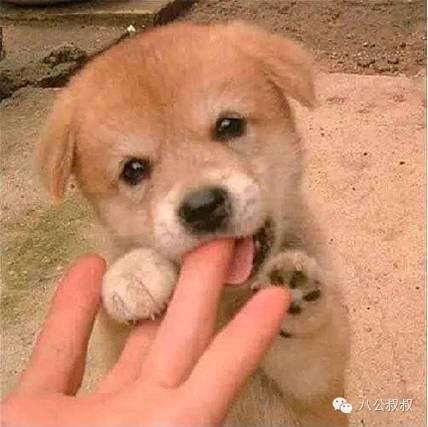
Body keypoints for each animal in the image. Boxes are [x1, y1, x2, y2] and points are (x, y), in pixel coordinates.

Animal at [35, 21, 350, 426]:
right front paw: (134, 273)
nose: (202, 207)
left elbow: (316, 346)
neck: (225, 299)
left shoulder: (318, 386)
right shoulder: (115, 350)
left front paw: (291, 294)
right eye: (133, 169)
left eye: (229, 125)